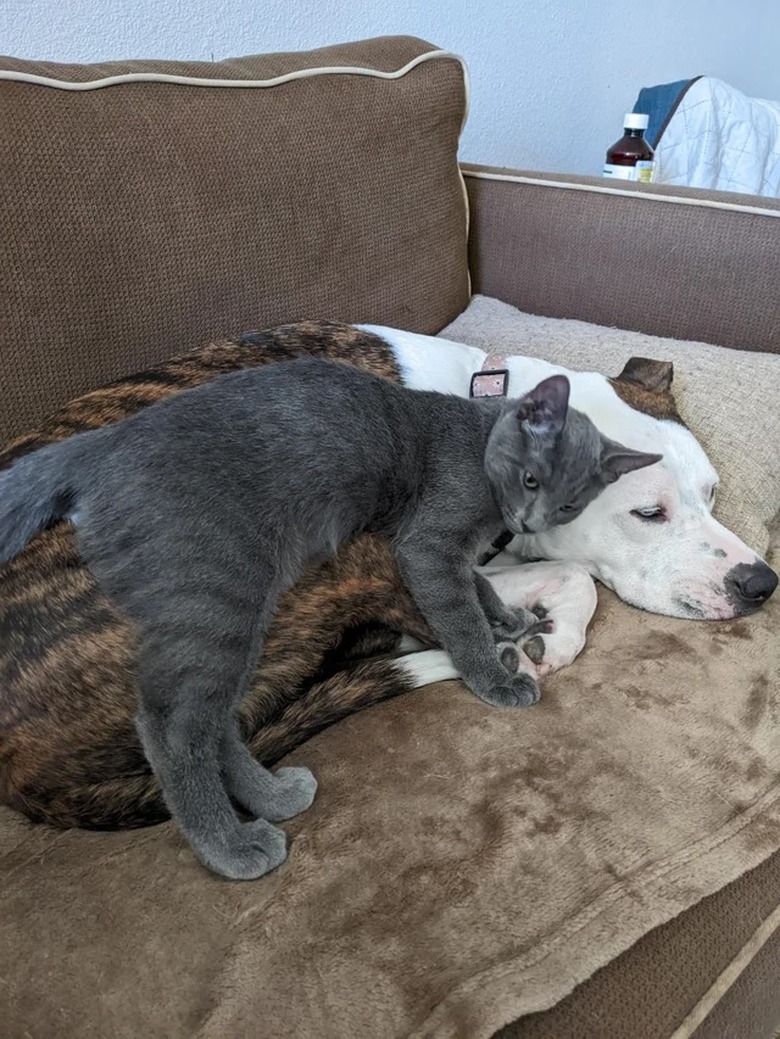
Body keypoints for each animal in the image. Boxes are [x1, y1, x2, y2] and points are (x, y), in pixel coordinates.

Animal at [0, 357, 660, 876]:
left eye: (570, 503)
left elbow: (475, 588)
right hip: (220, 588)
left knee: (215, 718)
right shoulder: (424, 544)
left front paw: (506, 621)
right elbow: (458, 614)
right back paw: (234, 849)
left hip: (240, 607)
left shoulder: (429, 549)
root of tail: (93, 451)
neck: (478, 441)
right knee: (174, 728)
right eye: (530, 478)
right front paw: (496, 674)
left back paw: (273, 796)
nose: (529, 521)